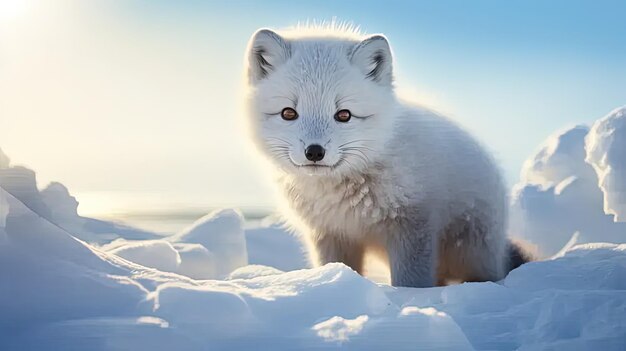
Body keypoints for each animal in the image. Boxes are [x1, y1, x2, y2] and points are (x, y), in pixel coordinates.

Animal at [241, 25, 528, 288]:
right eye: (288, 113)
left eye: (343, 114)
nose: (314, 152)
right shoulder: (331, 234)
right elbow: (336, 266)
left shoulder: (413, 226)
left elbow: (410, 282)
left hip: (473, 255)